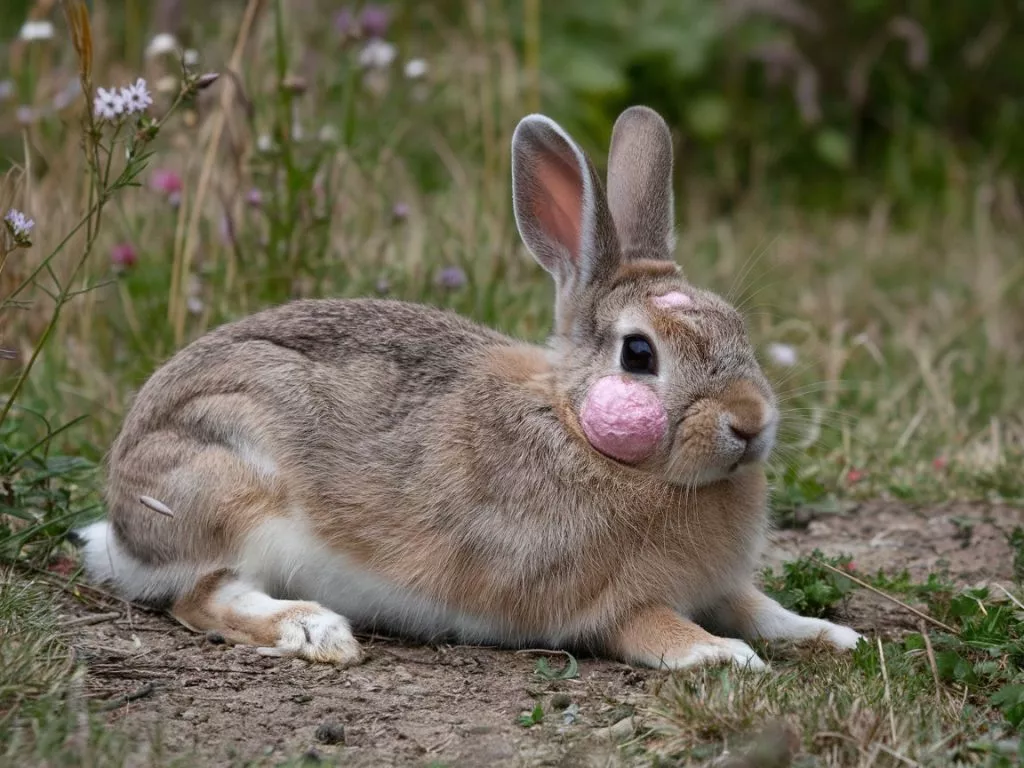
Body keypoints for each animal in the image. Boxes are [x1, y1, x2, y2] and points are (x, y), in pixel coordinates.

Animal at [75, 106, 862, 670]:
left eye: (736, 327)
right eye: (640, 354)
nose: (751, 422)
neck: (576, 429)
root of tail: (121, 520)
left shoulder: (723, 586)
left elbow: (760, 607)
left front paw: (831, 635)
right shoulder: (605, 601)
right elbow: (656, 626)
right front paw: (725, 656)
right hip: (229, 482)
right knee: (199, 596)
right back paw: (314, 631)